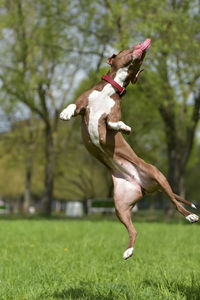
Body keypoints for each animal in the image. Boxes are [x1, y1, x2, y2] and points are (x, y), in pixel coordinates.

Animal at [59, 39, 198, 260]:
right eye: (131, 47)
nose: (145, 44)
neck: (111, 89)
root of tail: (143, 185)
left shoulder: (110, 118)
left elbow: (112, 123)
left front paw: (124, 127)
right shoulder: (84, 103)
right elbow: (74, 105)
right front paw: (65, 112)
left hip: (159, 177)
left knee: (175, 204)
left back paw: (191, 215)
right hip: (120, 206)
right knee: (133, 229)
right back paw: (128, 250)